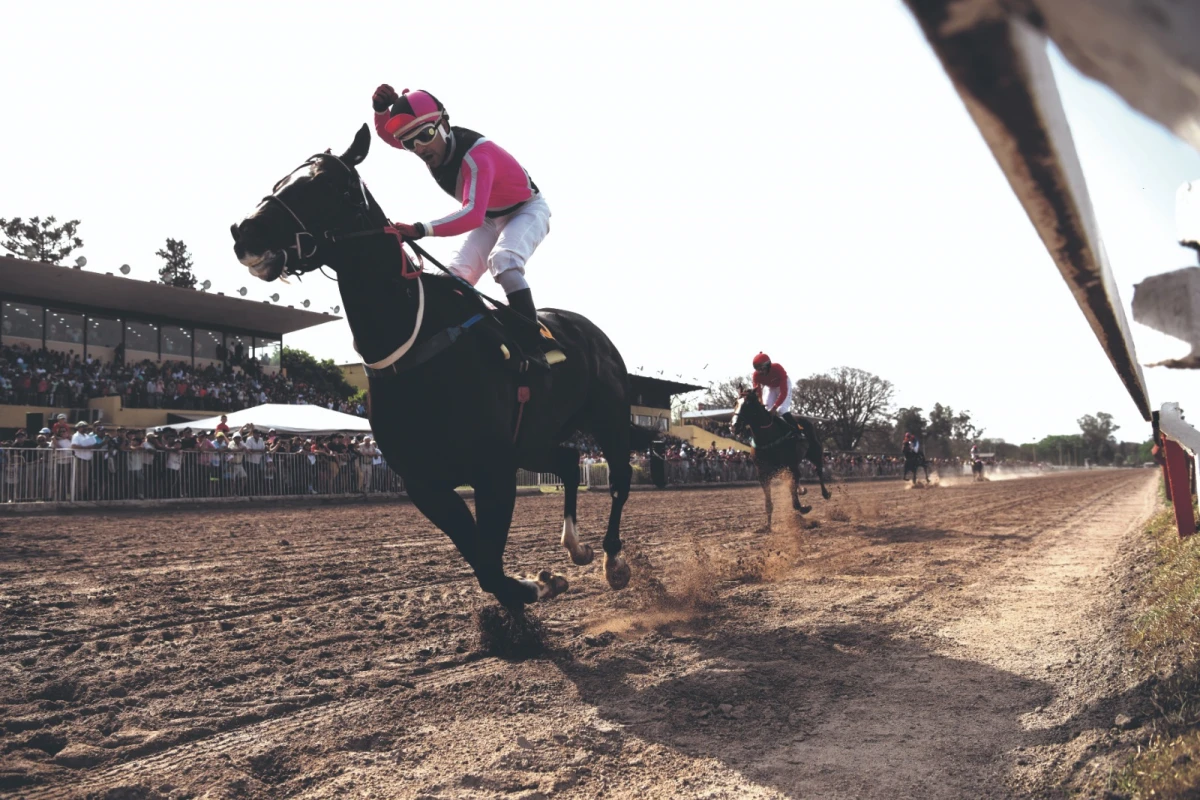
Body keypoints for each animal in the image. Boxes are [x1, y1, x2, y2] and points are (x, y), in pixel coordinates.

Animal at [231, 126, 667, 614]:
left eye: (326, 183)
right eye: (283, 178)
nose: (245, 231)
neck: (416, 340)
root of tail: (594, 333)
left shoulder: (493, 470)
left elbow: (491, 562)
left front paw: (537, 586)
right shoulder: (426, 483)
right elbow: (483, 564)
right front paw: (538, 582)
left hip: (608, 419)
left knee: (619, 480)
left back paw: (614, 561)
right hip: (534, 439)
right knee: (571, 462)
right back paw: (576, 547)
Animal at [724, 388, 830, 532]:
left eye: (748, 405)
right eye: (735, 402)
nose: (734, 426)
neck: (767, 438)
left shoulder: (790, 466)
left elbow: (795, 501)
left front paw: (804, 508)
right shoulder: (763, 475)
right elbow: (768, 503)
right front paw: (767, 527)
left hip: (815, 452)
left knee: (818, 470)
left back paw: (825, 493)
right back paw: (802, 490)